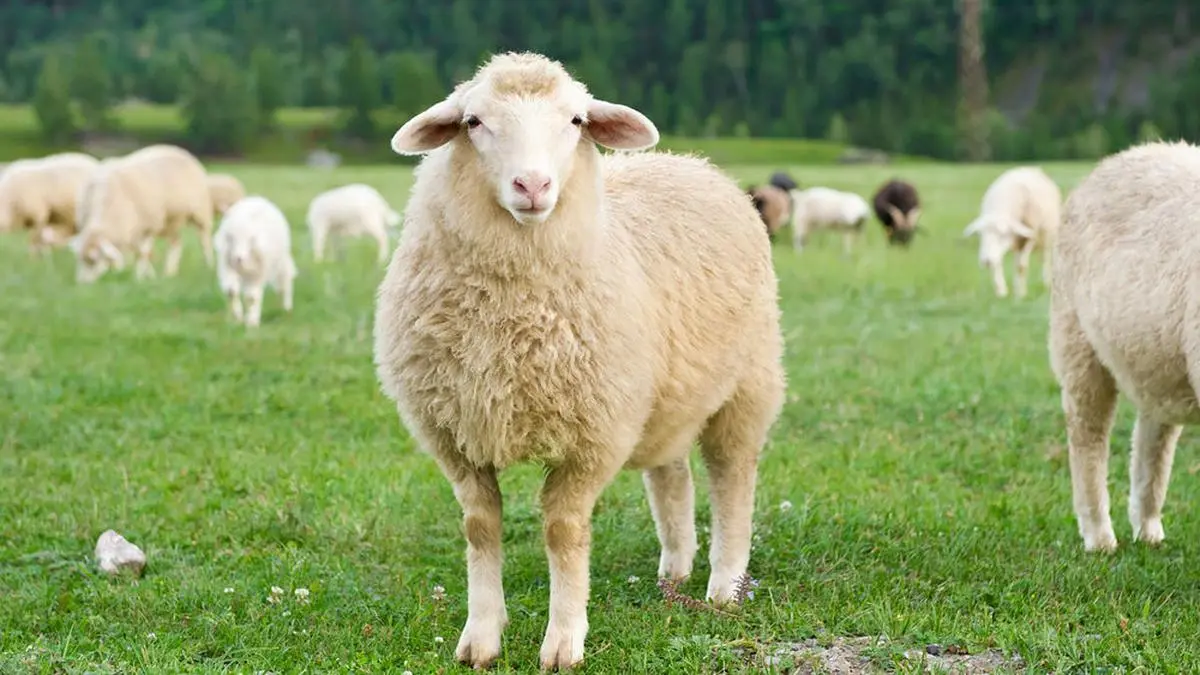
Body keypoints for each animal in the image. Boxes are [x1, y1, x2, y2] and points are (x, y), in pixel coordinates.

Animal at [70, 144, 214, 284]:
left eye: (93, 260)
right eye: (79, 259)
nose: (83, 285)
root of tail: (179, 150)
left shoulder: (148, 227)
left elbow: (142, 255)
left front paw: (139, 278)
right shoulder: (132, 230)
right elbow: (142, 254)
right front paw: (149, 276)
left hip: (201, 212)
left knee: (204, 240)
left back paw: (208, 266)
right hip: (171, 221)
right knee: (176, 243)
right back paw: (169, 273)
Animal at [213, 195, 297, 328]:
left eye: (251, 239)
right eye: (230, 237)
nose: (238, 258)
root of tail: (257, 197)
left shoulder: (259, 272)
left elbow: (252, 297)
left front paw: (252, 322)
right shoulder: (227, 265)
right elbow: (232, 291)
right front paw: (238, 317)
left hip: (280, 262)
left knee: (285, 281)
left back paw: (286, 308)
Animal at [375, 51, 785, 671]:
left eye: (575, 121)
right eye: (473, 121)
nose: (533, 184)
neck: (511, 314)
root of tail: (691, 163)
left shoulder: (593, 432)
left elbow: (565, 533)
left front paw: (564, 641)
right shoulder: (456, 433)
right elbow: (480, 527)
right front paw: (481, 637)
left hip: (748, 383)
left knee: (731, 477)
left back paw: (724, 586)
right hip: (663, 394)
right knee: (672, 475)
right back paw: (674, 571)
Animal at [962, 166, 1061, 298]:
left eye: (1002, 234)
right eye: (980, 235)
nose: (986, 261)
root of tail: (1031, 168)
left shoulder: (1030, 237)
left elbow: (1021, 267)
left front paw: (1021, 295)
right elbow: (999, 264)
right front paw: (1001, 292)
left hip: (1047, 237)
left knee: (1046, 259)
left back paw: (1047, 285)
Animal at [1048, 140, 1200, 553]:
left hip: (1157, 357)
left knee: (1151, 440)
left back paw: (1147, 528)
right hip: (1075, 339)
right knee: (1088, 437)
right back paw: (1099, 537)